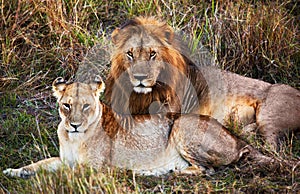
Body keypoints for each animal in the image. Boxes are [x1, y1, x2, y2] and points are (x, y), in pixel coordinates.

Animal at [2, 76, 274, 178]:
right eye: (67, 105)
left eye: (86, 106)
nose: (75, 125)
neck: (73, 138)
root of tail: (238, 141)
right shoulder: (63, 158)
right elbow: (39, 164)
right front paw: (14, 171)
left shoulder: (95, 169)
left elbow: (68, 173)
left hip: (181, 124)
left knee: (207, 170)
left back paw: (164, 172)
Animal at [103, 15, 300, 151]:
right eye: (130, 54)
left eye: (153, 54)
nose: (140, 77)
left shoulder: (169, 115)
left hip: (269, 115)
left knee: (273, 148)